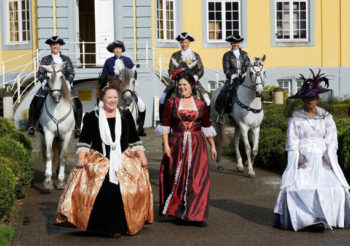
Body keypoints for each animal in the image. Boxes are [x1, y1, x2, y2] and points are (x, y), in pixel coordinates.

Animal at [38, 62, 74, 190]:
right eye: (48, 77)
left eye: (61, 77)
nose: (56, 97)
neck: (57, 108)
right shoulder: (48, 132)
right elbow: (49, 154)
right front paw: (48, 180)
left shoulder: (67, 134)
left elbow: (62, 156)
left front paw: (61, 181)